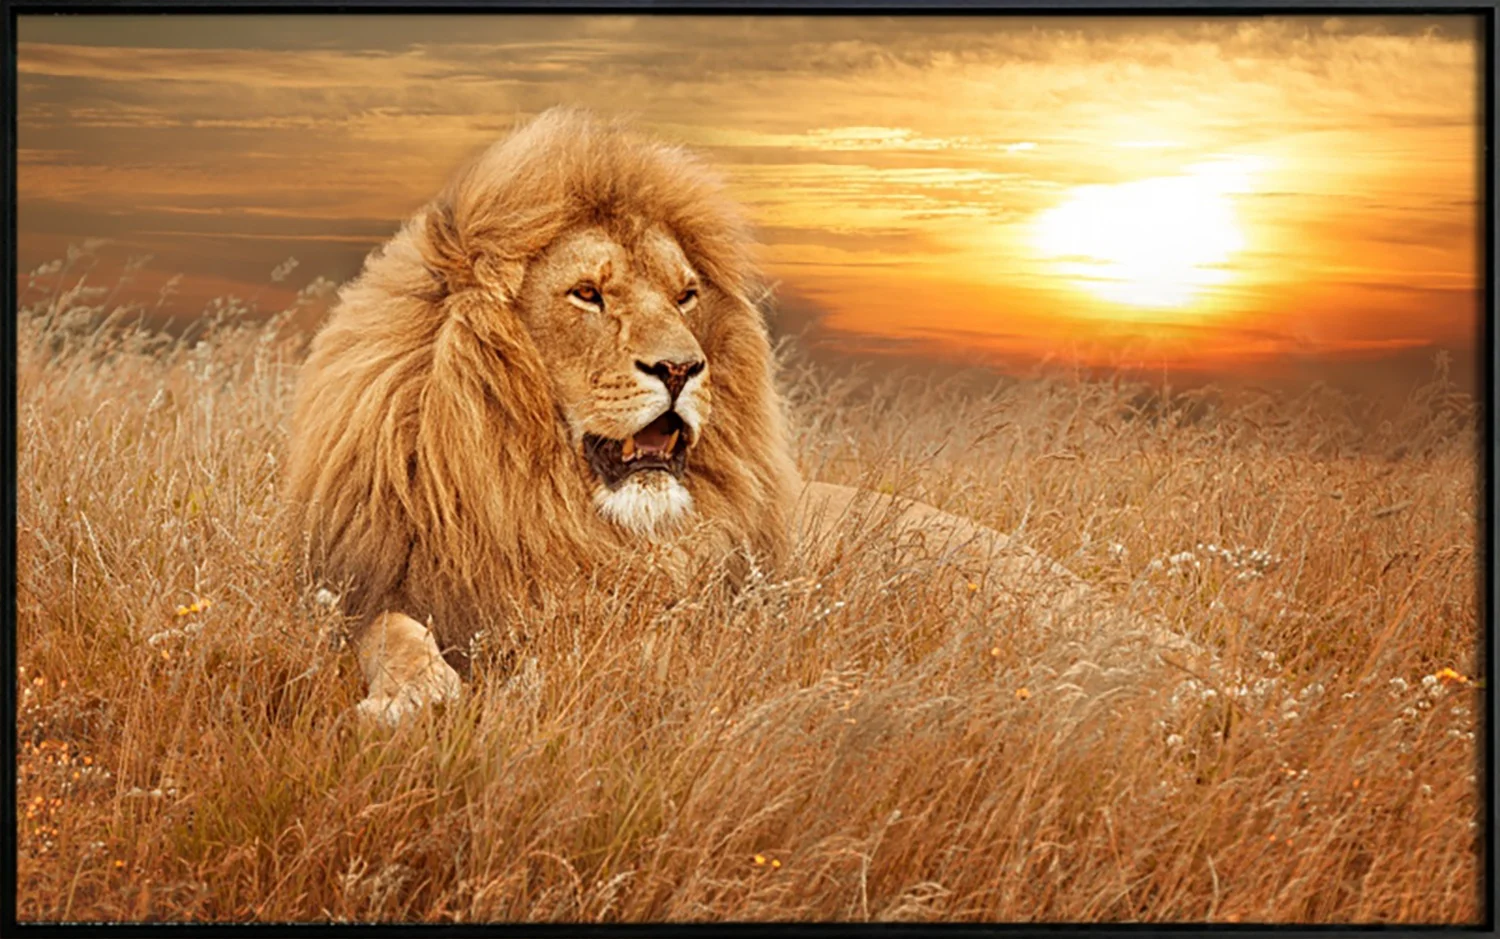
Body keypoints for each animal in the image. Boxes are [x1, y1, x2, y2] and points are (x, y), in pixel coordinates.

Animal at [287, 109, 1199, 725]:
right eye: (587, 293)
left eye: (686, 294)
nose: (682, 368)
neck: (544, 505)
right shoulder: (362, 590)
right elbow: (393, 631)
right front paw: (416, 696)